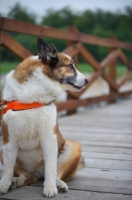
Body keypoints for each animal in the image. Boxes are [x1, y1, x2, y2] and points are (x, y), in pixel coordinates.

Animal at [0, 38, 88, 198]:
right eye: (70, 66)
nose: (87, 80)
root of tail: (37, 172)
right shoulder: (9, 141)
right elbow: (8, 169)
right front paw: (3, 185)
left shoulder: (49, 138)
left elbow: (51, 168)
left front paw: (50, 188)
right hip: (2, 152)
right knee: (30, 177)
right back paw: (15, 181)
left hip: (73, 146)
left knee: (55, 173)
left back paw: (58, 184)